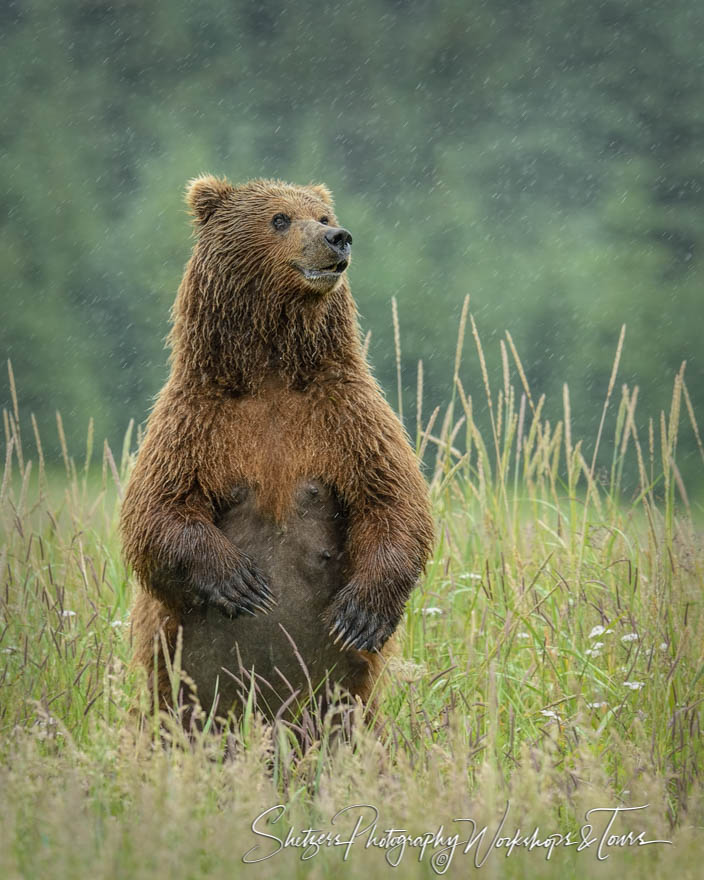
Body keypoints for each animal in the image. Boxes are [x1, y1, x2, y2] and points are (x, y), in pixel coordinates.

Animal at [121, 175, 434, 724]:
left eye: (324, 216)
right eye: (280, 218)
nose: (338, 239)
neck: (270, 365)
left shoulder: (347, 415)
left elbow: (392, 499)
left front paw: (362, 614)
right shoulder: (194, 423)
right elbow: (156, 510)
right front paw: (240, 582)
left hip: (338, 688)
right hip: (183, 673)